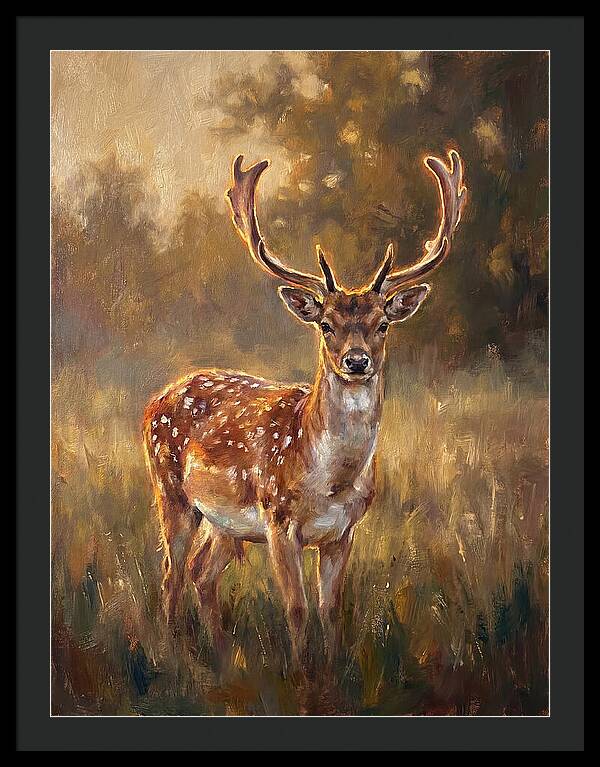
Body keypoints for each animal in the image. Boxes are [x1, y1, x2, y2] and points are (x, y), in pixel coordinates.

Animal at [143, 149, 466, 670]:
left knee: (200, 572)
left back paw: (222, 655)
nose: (356, 361)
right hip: (171, 491)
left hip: (225, 523)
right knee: (171, 573)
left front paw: (331, 672)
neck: (330, 482)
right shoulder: (278, 521)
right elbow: (295, 609)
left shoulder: (343, 532)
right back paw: (175, 654)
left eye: (382, 324)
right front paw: (300, 675)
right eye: (327, 324)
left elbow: (330, 609)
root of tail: (158, 398)